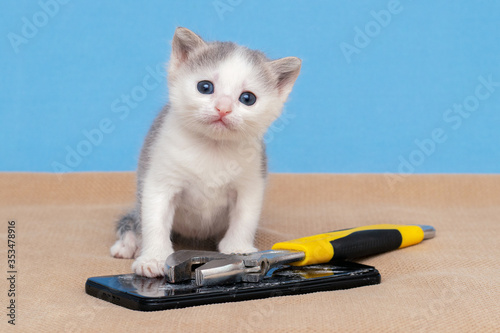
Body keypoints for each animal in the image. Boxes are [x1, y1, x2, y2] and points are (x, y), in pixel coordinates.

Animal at [110, 26, 300, 276]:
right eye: (205, 87)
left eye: (247, 98)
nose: (223, 108)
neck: (213, 147)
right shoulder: (159, 178)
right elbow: (155, 219)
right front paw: (153, 258)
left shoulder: (251, 180)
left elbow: (245, 216)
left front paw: (238, 247)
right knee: (131, 221)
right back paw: (127, 244)